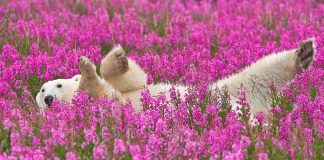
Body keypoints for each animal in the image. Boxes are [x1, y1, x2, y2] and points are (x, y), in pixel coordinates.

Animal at [36, 38, 316, 117]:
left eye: (55, 85)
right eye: (41, 92)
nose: (48, 99)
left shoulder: (128, 89)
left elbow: (134, 80)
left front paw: (116, 58)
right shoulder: (106, 105)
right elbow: (97, 91)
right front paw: (87, 71)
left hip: (228, 89)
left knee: (259, 72)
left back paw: (303, 52)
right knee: (259, 78)